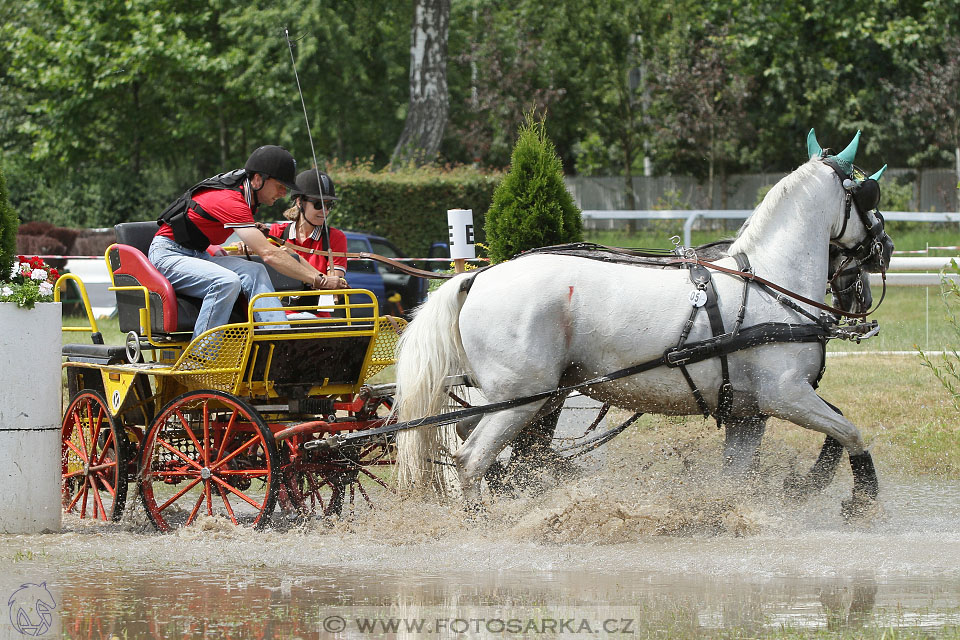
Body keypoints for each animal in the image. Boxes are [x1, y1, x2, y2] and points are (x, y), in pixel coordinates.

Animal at [394, 135, 888, 516]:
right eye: (870, 196)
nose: (883, 251)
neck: (770, 285)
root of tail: (477, 276)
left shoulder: (749, 414)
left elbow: (744, 473)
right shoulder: (784, 395)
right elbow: (849, 431)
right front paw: (861, 499)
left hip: (537, 398)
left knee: (489, 445)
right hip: (520, 399)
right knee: (471, 459)